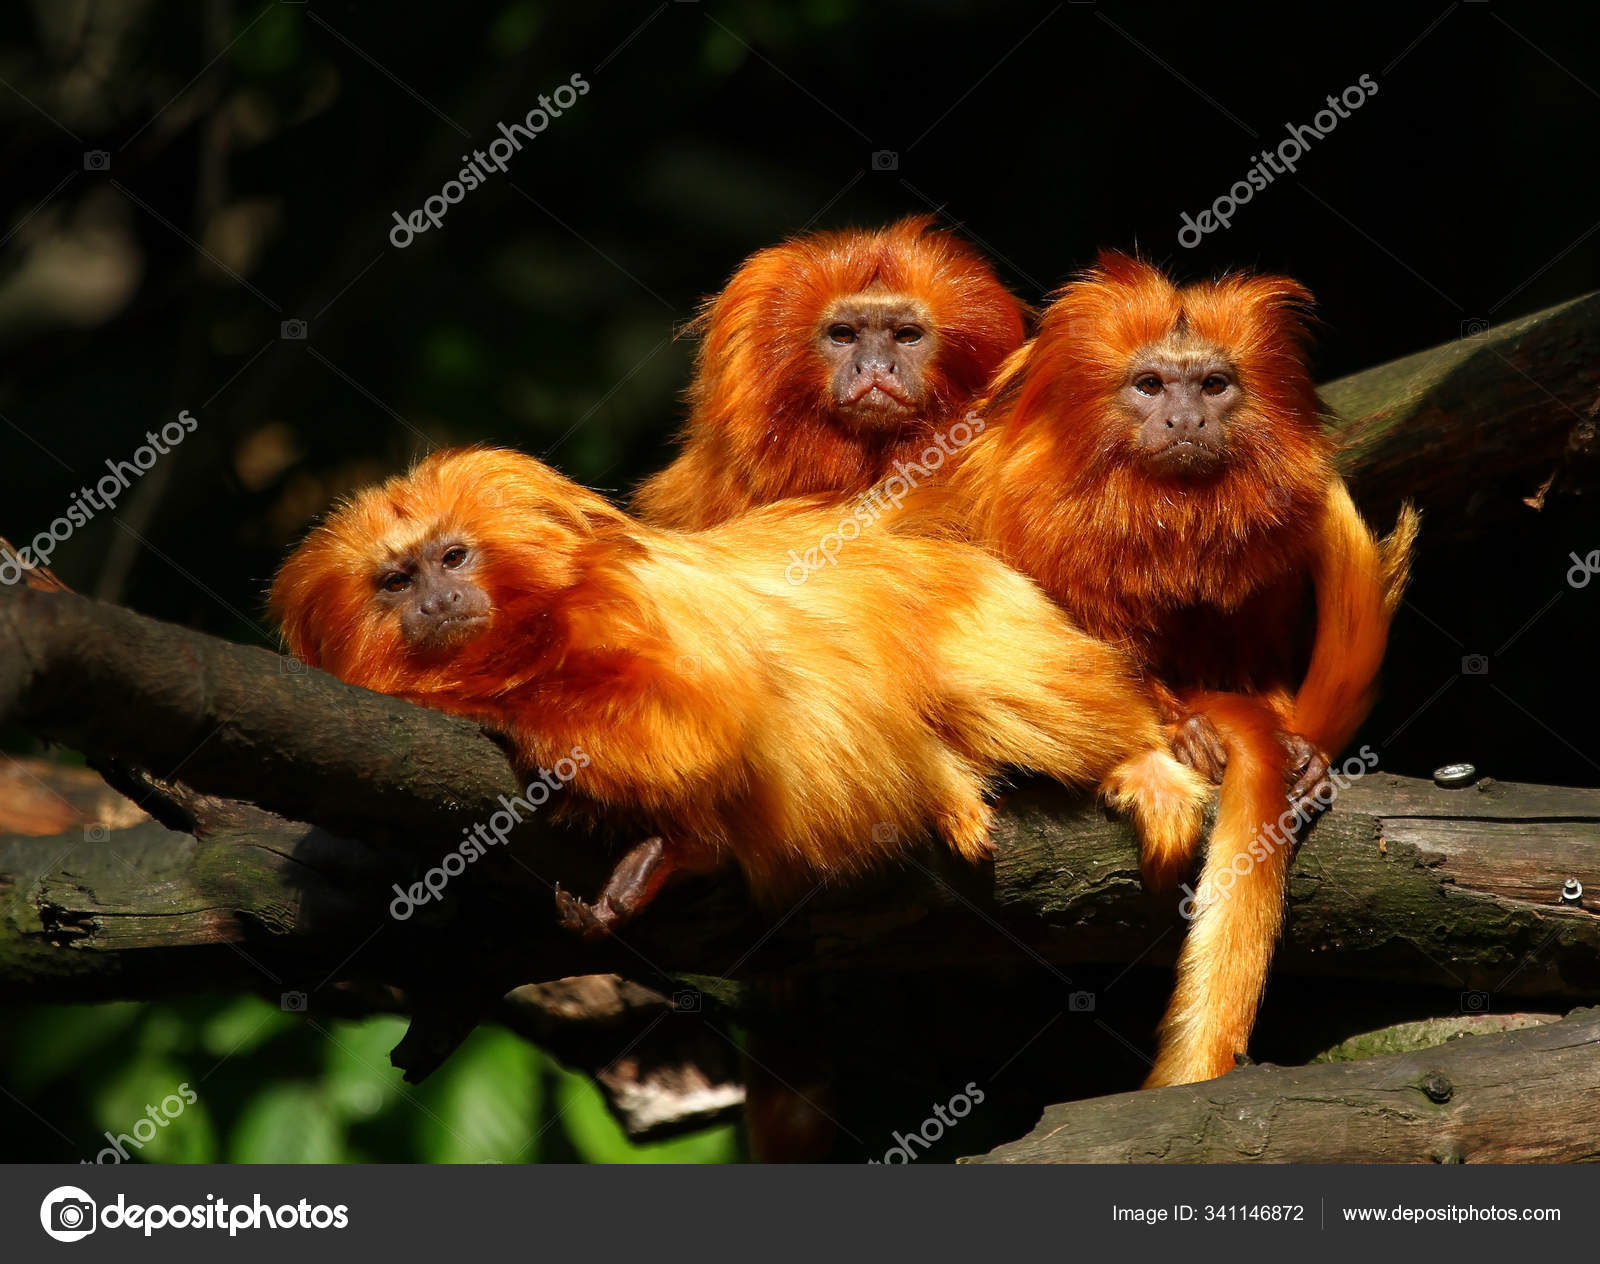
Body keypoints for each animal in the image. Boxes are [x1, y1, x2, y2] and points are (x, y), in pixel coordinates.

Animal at [270, 447, 1208, 932]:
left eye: (454, 556)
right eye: (394, 581)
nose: (434, 601)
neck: (534, 622)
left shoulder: (634, 608)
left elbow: (706, 720)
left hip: (995, 622)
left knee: (1011, 688)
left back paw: (1146, 760)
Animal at [923, 253, 1418, 1087]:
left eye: (1213, 385)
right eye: (1150, 385)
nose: (1185, 420)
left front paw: (1295, 749)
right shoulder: (1008, 506)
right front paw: (1180, 730)